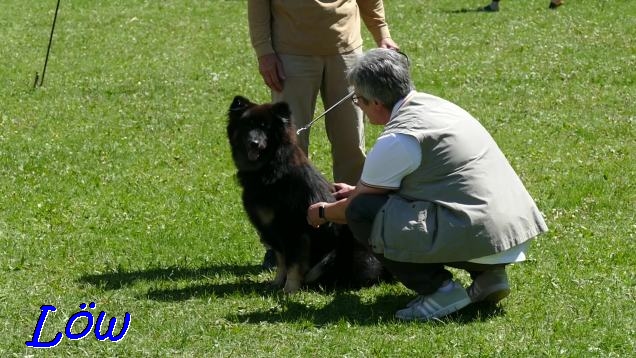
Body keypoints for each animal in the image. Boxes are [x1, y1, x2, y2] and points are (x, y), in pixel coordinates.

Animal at [229, 96, 388, 294]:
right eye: (248, 125)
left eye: (265, 127)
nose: (254, 142)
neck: (272, 167)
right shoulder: (274, 230)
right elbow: (281, 261)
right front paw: (276, 283)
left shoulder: (293, 228)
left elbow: (293, 263)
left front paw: (289, 289)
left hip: (337, 255)